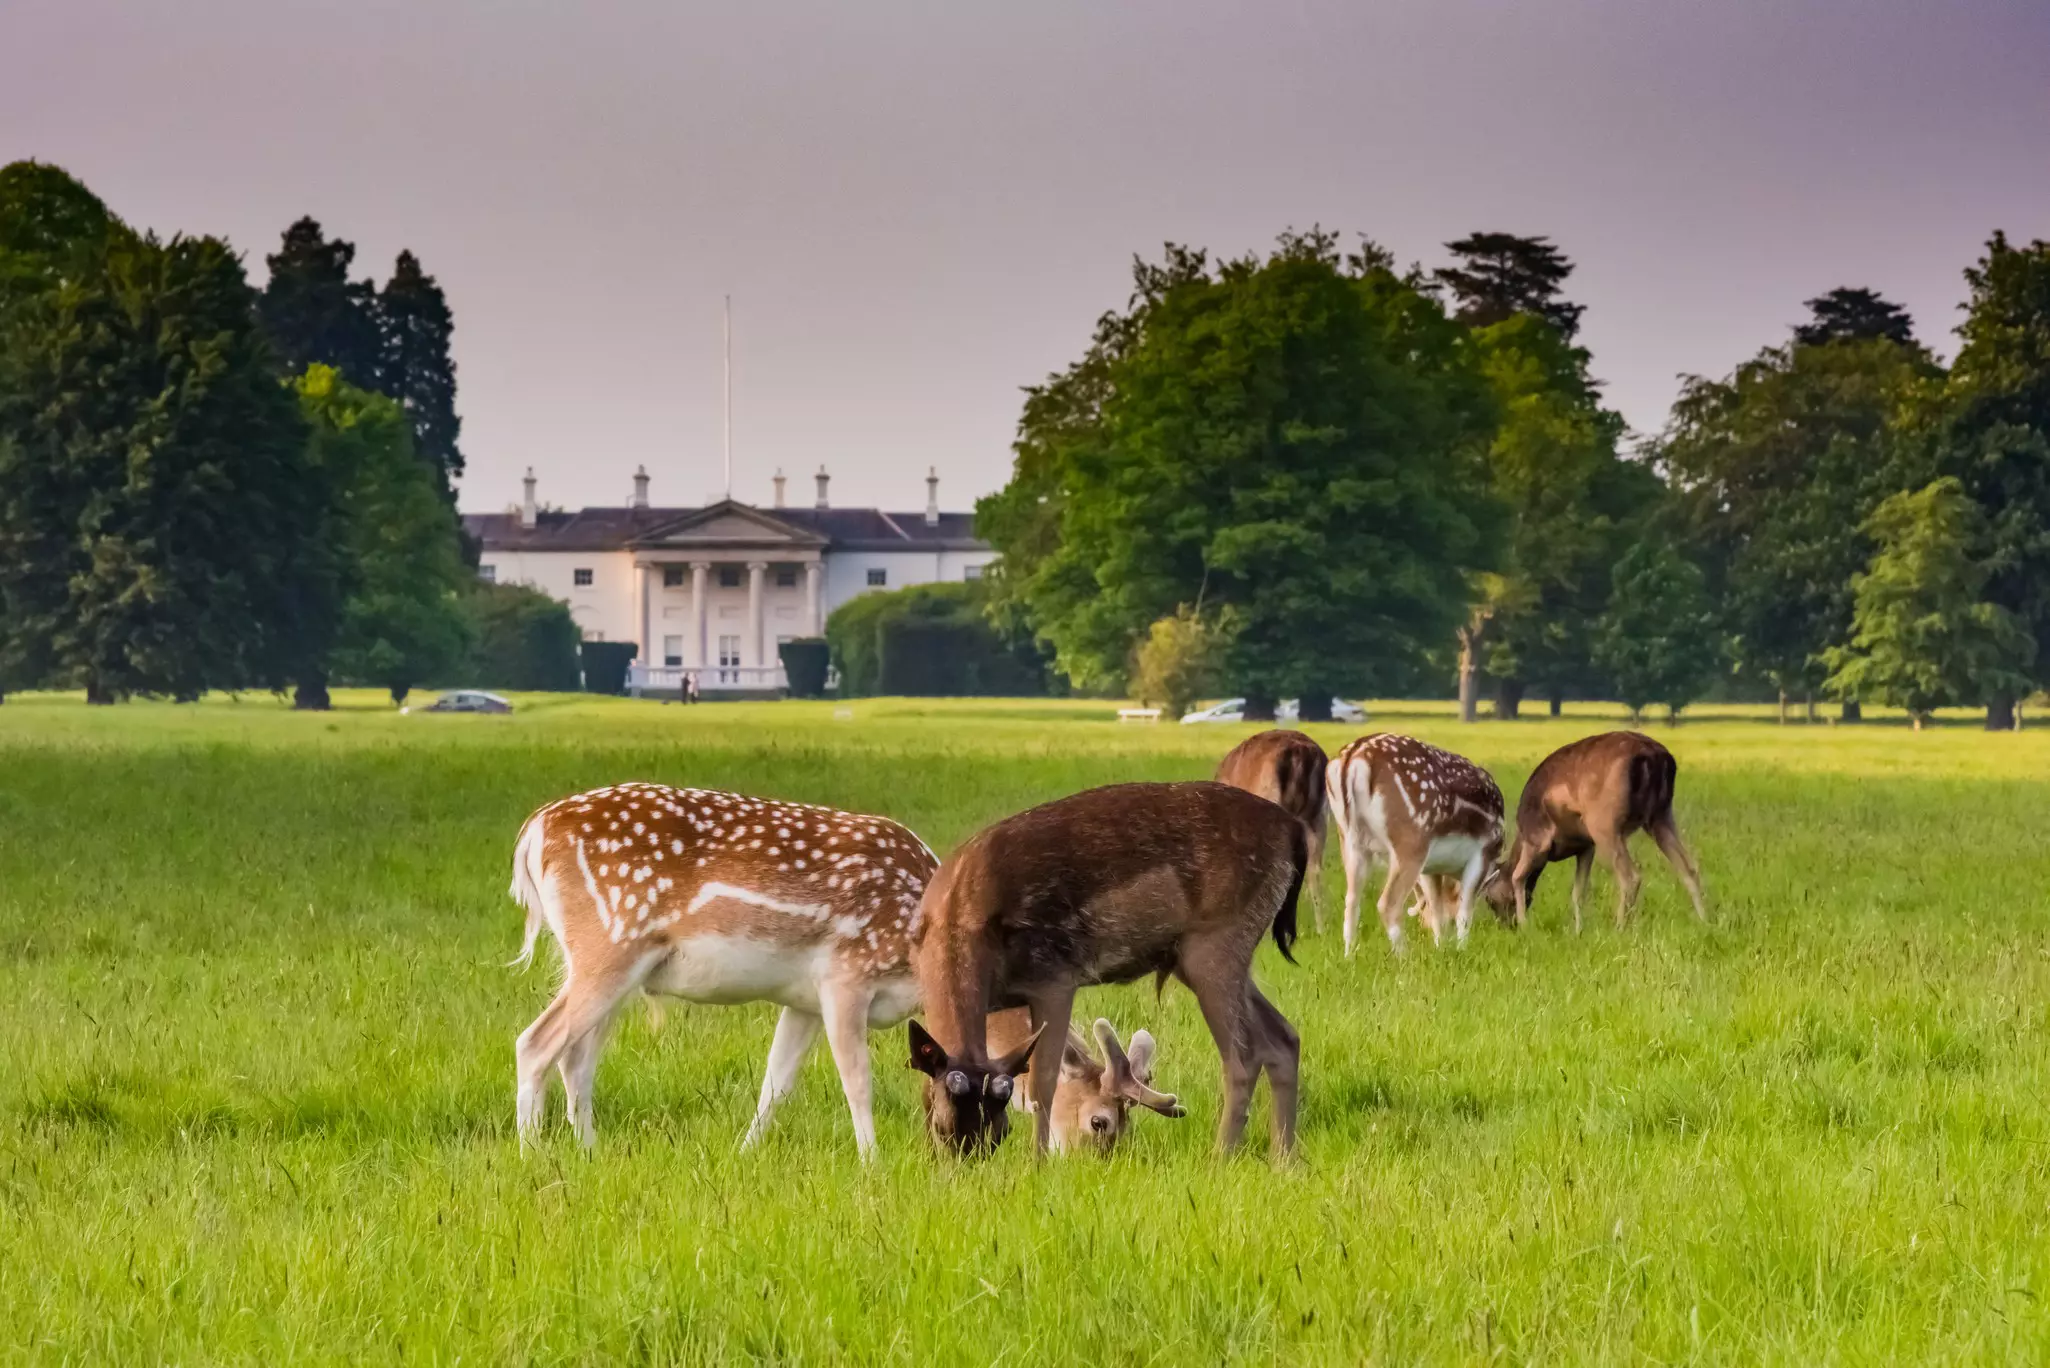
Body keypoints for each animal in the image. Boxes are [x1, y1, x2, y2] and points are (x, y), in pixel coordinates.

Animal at [507, 782, 1173, 1159]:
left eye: (1000, 1125)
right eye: (1101, 1122)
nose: (1089, 1166)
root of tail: (531, 831)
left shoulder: (800, 999)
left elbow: (775, 1085)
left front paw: (743, 1156)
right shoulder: (846, 976)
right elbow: (859, 1081)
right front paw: (871, 1164)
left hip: (602, 963)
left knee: (575, 1056)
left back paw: (590, 1152)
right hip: (609, 945)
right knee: (535, 1042)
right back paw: (531, 1155)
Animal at [908, 781, 1306, 1159]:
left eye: (1001, 1131)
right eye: (940, 1128)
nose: (966, 1161)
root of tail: (1294, 828)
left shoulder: (1054, 977)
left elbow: (1042, 1083)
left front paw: (1037, 1164)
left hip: (1217, 943)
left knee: (1243, 1057)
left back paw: (1220, 1158)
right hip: (1201, 958)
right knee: (1283, 1037)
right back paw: (1284, 1160)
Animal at [1326, 733, 1512, 955]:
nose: (1511, 925)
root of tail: (1353, 757)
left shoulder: (1431, 867)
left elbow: (1437, 911)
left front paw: (1442, 949)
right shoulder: (1484, 852)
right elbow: (1464, 912)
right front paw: (1461, 950)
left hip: (1350, 841)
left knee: (1351, 902)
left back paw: (1349, 956)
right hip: (1411, 840)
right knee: (1388, 903)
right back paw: (1404, 957)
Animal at [1500, 730, 1706, 931]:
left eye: (1494, 896)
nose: (1507, 924)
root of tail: (1656, 757)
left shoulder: (1537, 840)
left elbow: (1518, 876)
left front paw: (1525, 926)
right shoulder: (1586, 846)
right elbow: (1578, 891)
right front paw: (1578, 931)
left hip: (1604, 824)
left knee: (1630, 876)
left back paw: (1620, 928)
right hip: (1661, 815)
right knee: (1689, 868)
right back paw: (1704, 921)